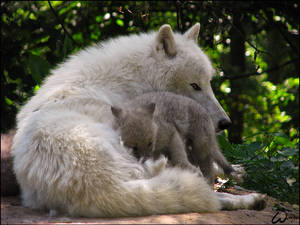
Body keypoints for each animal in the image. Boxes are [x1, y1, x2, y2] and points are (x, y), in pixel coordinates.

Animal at [11, 22, 264, 216]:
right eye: (194, 85)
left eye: (209, 82)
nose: (225, 123)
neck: (130, 80)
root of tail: (101, 188)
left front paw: (236, 170)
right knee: (208, 196)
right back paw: (252, 199)